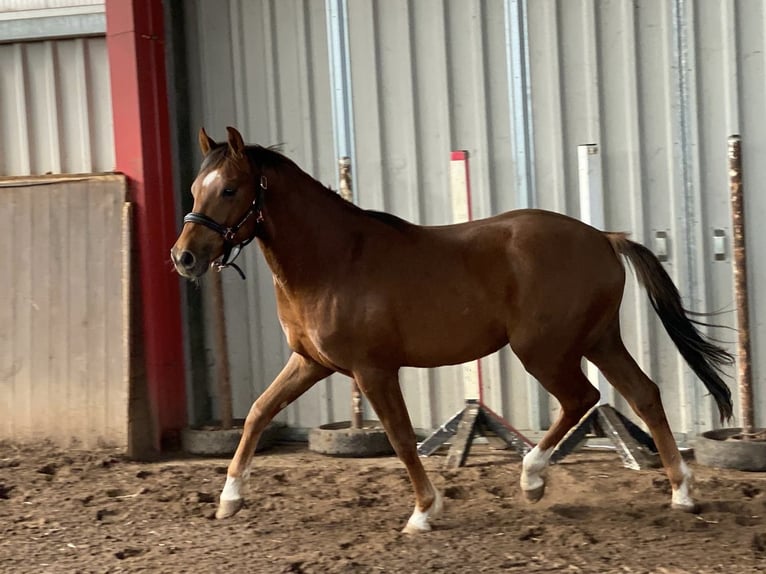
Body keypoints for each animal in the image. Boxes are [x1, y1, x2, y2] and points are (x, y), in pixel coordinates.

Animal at [171, 126, 734, 533]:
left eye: (230, 189)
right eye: (196, 188)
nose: (184, 257)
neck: (334, 259)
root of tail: (604, 237)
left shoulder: (374, 370)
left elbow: (400, 437)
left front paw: (424, 512)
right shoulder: (311, 362)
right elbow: (258, 413)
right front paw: (229, 499)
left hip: (544, 350)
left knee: (583, 398)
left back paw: (532, 478)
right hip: (599, 340)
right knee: (643, 394)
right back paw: (682, 493)